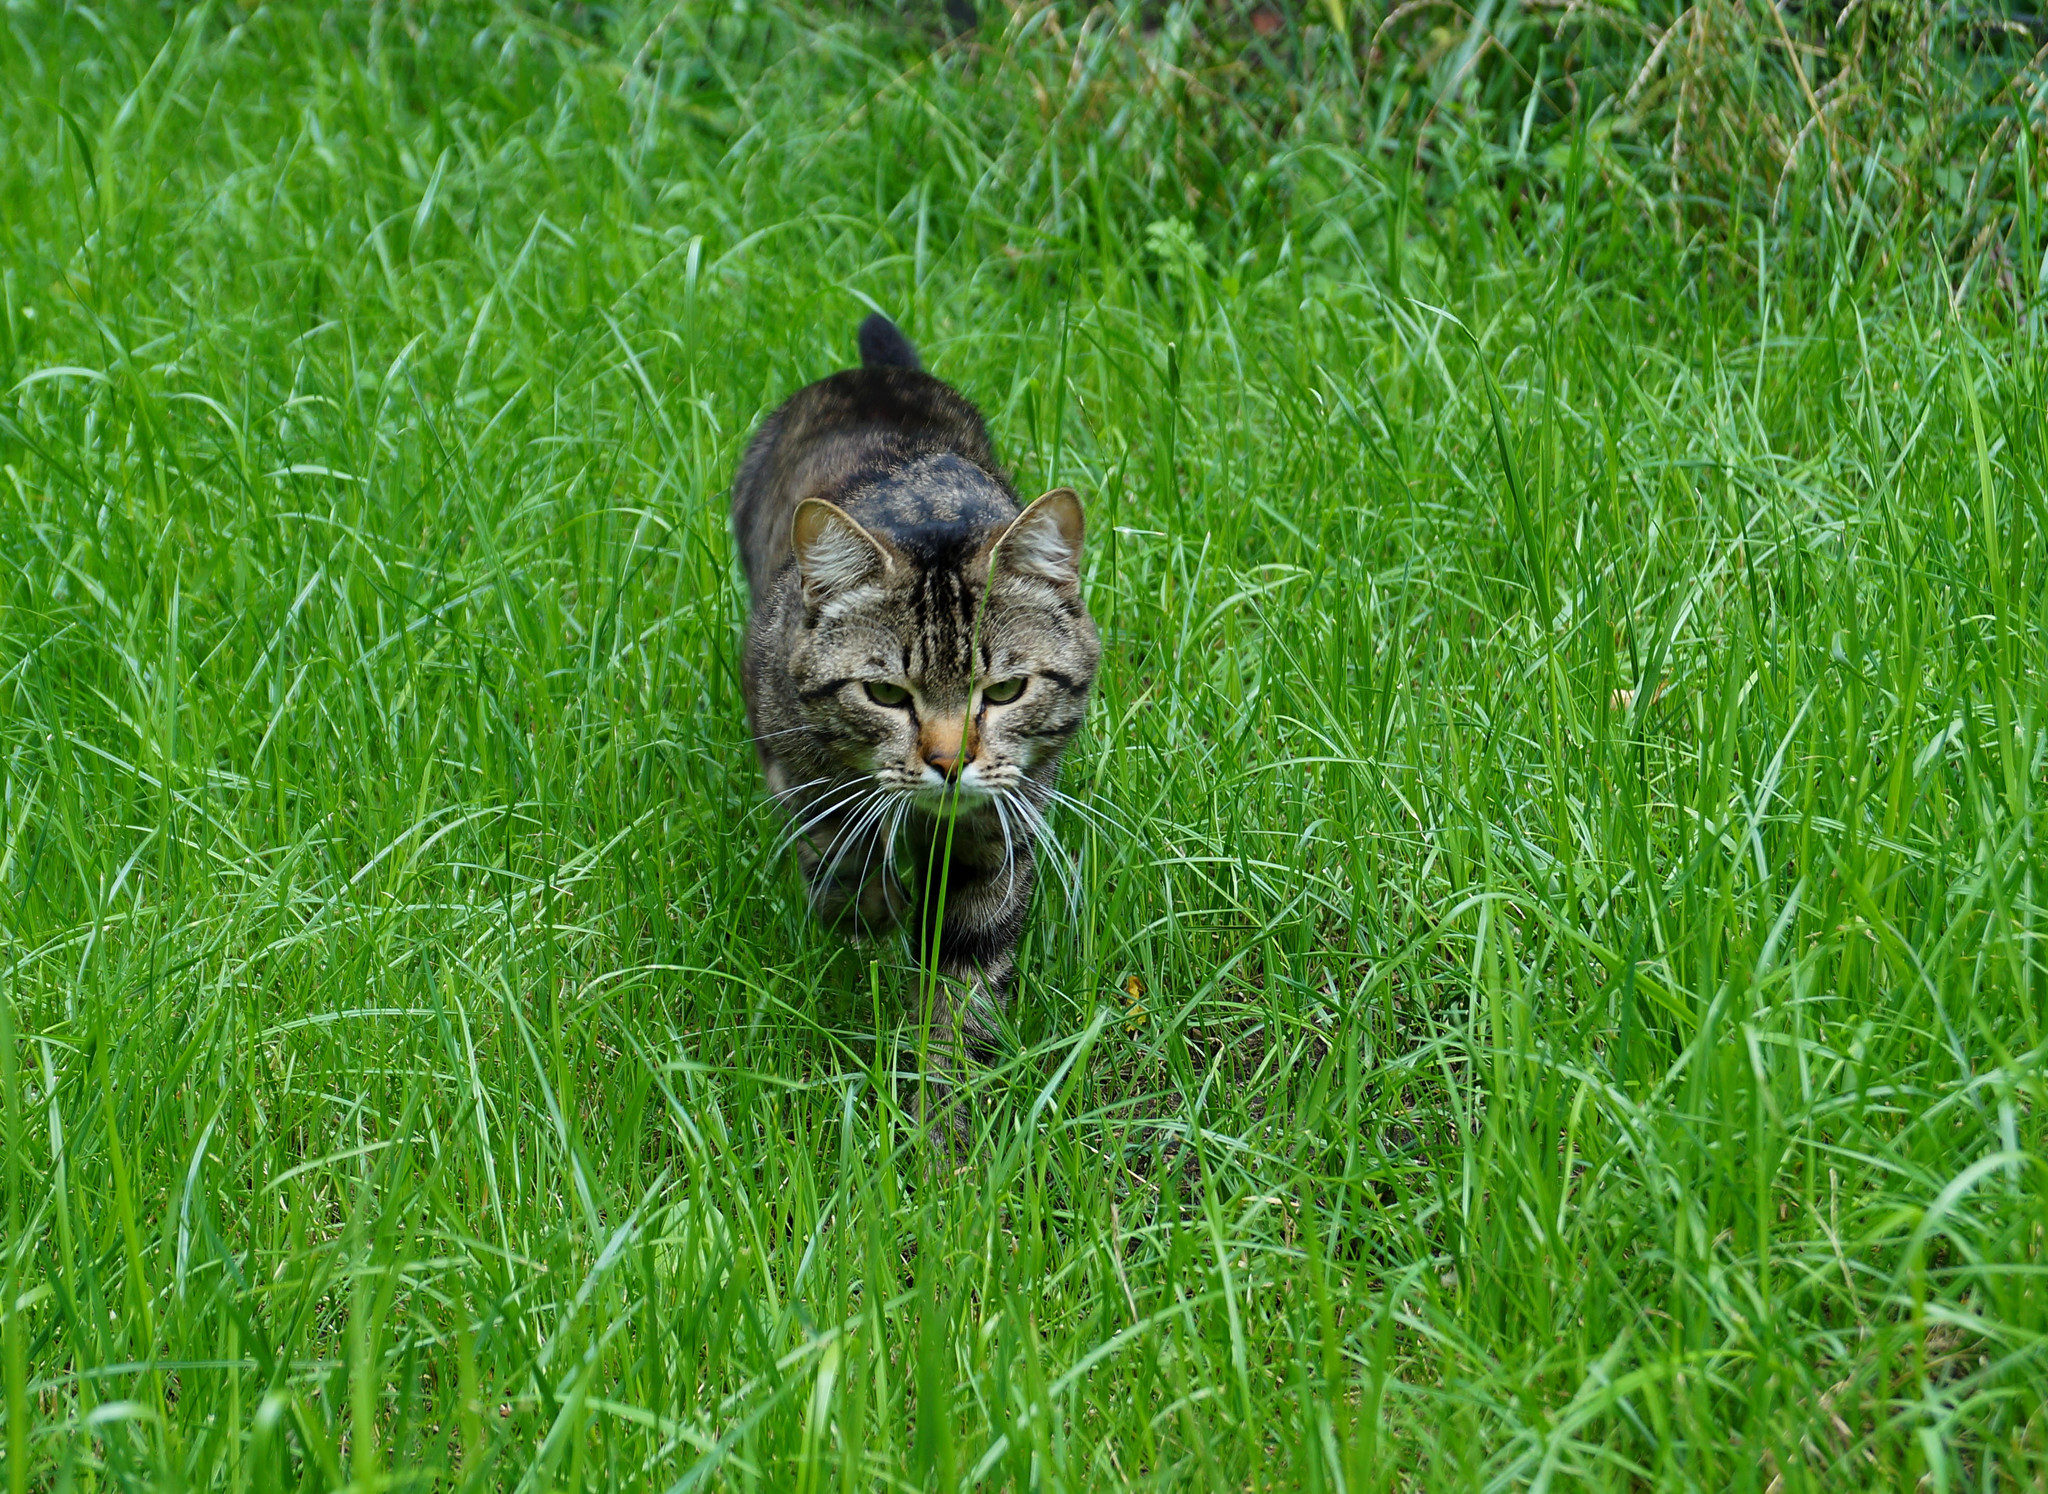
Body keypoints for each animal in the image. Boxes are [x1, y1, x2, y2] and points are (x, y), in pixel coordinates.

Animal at [729, 311, 1097, 1098]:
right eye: (886, 694)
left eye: (1006, 691)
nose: (949, 762)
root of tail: (876, 373)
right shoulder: (802, 776)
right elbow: (844, 869)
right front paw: (875, 924)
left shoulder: (1001, 833)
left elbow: (963, 986)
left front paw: (941, 1112)